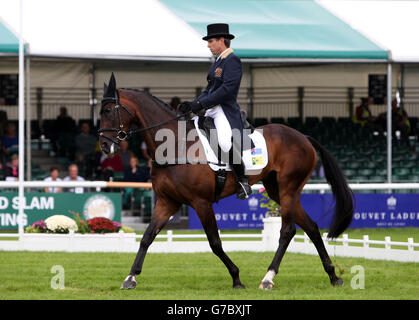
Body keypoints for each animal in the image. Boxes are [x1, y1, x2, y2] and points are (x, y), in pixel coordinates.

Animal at [98, 74, 354, 290]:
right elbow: (147, 238)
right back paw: (333, 276)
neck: (176, 145)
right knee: (311, 227)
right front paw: (130, 278)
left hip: (288, 188)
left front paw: (236, 278)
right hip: (277, 190)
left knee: (288, 230)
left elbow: (215, 242)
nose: (104, 145)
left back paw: (268, 278)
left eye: (108, 110)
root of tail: (304, 137)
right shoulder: (167, 201)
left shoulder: (200, 202)